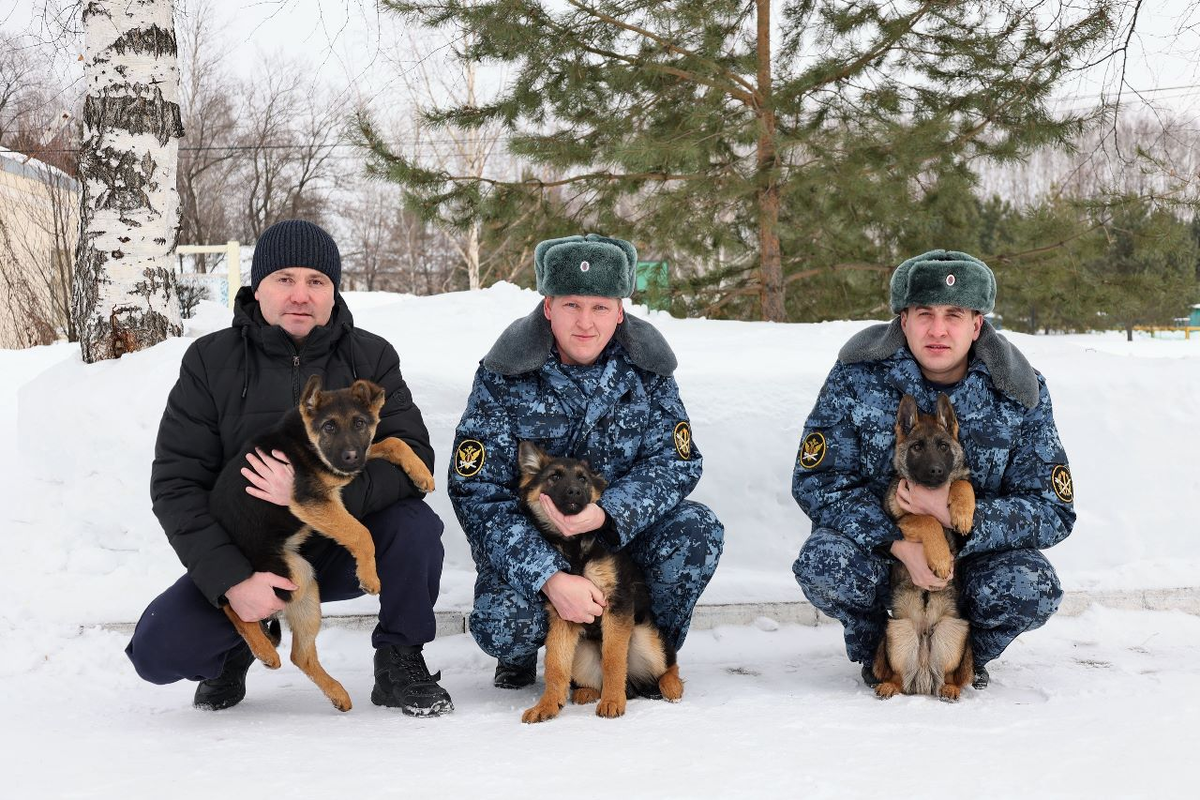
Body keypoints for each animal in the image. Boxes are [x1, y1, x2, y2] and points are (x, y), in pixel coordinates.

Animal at [211, 376, 436, 714]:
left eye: (360, 423)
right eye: (329, 426)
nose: (351, 457)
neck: (308, 442)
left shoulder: (350, 465)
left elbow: (394, 441)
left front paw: (421, 473)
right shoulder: (312, 499)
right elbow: (360, 533)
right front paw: (369, 577)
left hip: (302, 577)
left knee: (300, 654)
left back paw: (336, 693)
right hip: (276, 577)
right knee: (232, 605)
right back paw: (265, 651)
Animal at [516, 441, 686, 724]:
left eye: (583, 479)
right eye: (554, 477)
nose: (574, 491)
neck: (574, 547)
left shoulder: (617, 604)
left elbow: (613, 659)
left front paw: (613, 701)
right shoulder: (563, 612)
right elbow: (555, 664)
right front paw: (547, 705)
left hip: (646, 636)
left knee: (668, 663)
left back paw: (672, 685)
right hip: (582, 653)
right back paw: (586, 692)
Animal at [873, 393, 974, 700]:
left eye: (943, 446)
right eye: (917, 447)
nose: (936, 471)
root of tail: (924, 669)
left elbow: (963, 485)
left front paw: (963, 513)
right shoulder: (900, 518)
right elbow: (927, 518)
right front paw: (940, 559)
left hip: (954, 630)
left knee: (951, 677)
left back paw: (950, 689)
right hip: (898, 631)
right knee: (897, 677)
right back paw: (888, 686)